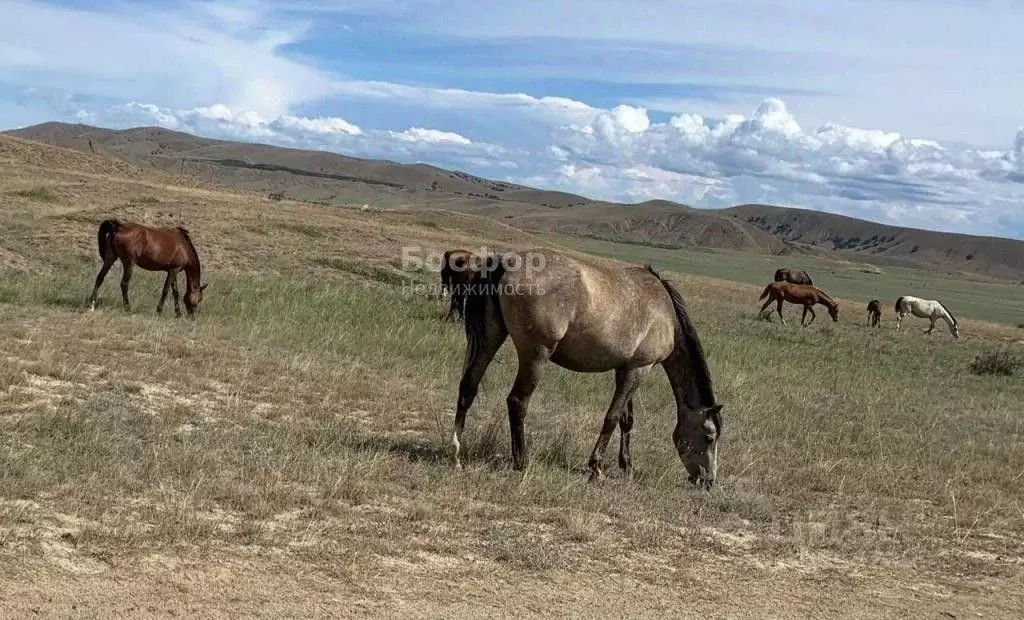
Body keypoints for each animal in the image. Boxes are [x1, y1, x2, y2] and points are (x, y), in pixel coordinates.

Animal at [452, 248, 724, 487]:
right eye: (709, 437)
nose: (708, 481)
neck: (665, 314)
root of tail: (505, 263)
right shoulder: (640, 369)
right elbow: (612, 417)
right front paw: (596, 467)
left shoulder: (625, 368)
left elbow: (626, 420)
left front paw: (627, 466)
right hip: (536, 355)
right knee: (517, 402)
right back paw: (522, 461)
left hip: (489, 340)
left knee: (467, 389)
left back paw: (456, 452)